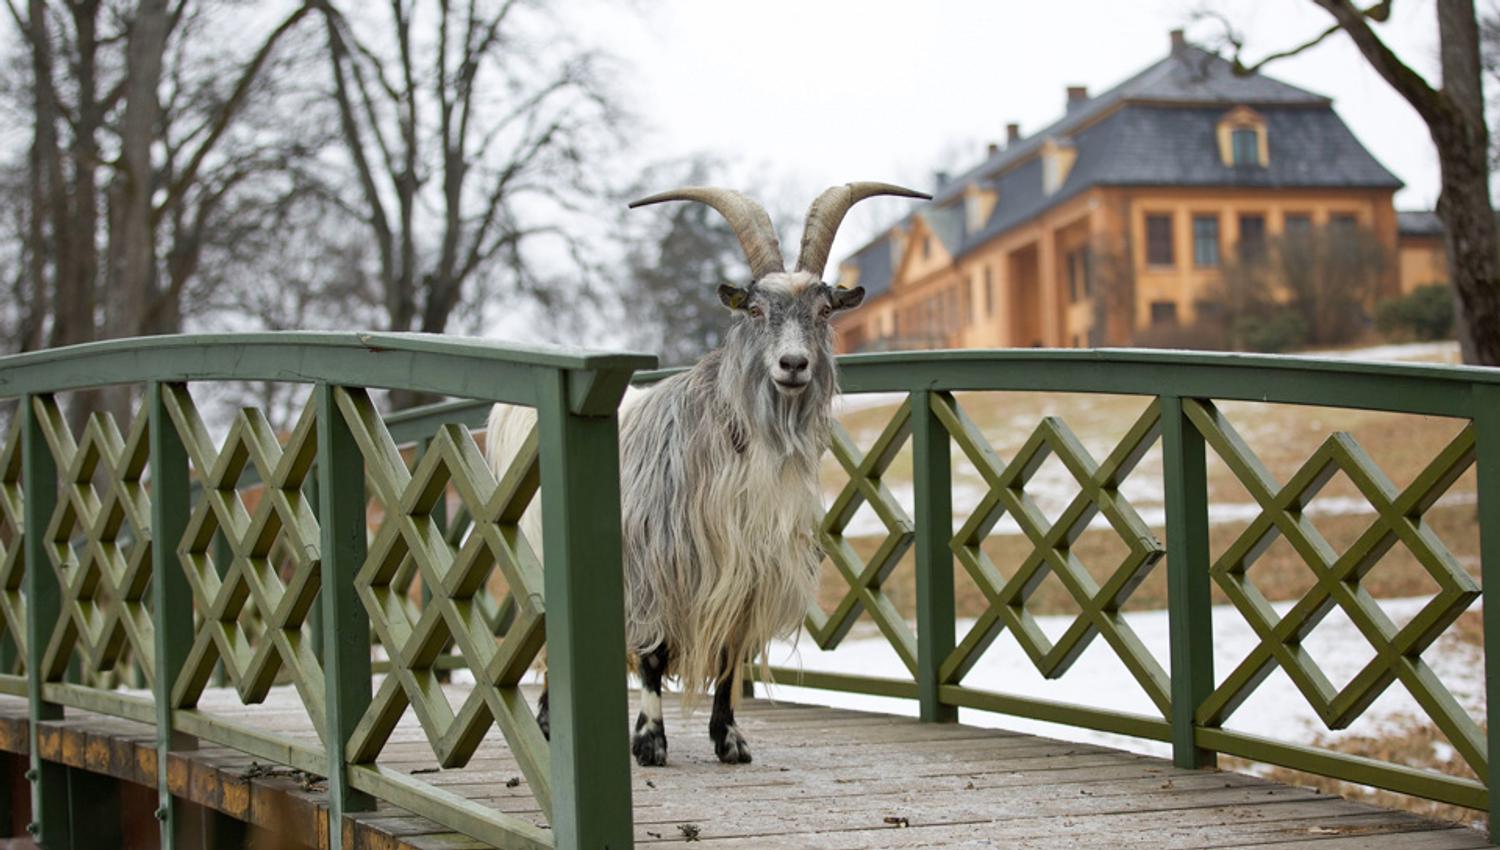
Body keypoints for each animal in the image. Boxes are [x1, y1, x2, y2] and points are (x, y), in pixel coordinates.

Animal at [487, 182, 929, 765]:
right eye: (756, 308)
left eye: (824, 310)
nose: (793, 365)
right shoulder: (656, 567)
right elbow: (653, 655)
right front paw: (649, 741)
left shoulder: (748, 572)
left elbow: (729, 654)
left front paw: (730, 738)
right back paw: (547, 722)